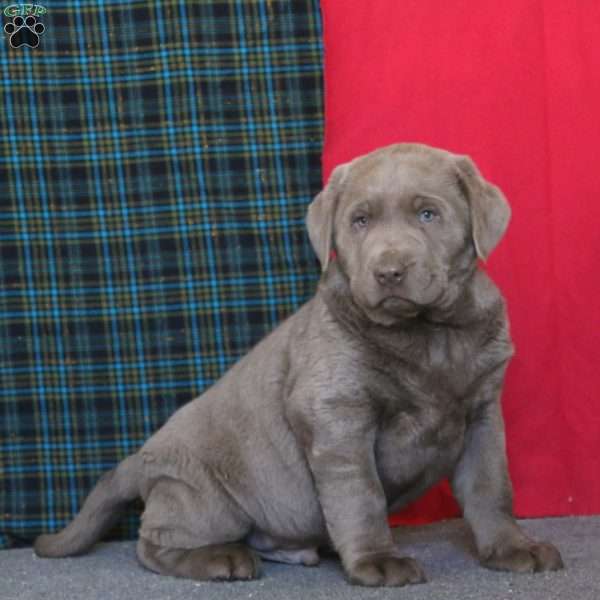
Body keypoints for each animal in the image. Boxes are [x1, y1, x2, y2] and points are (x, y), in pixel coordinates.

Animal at [36, 144, 564, 584]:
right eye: (360, 221)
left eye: (428, 214)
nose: (389, 271)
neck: (429, 334)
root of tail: (142, 456)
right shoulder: (337, 417)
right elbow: (361, 495)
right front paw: (378, 561)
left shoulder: (482, 414)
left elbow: (491, 488)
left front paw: (512, 548)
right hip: (202, 497)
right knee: (153, 544)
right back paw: (220, 559)